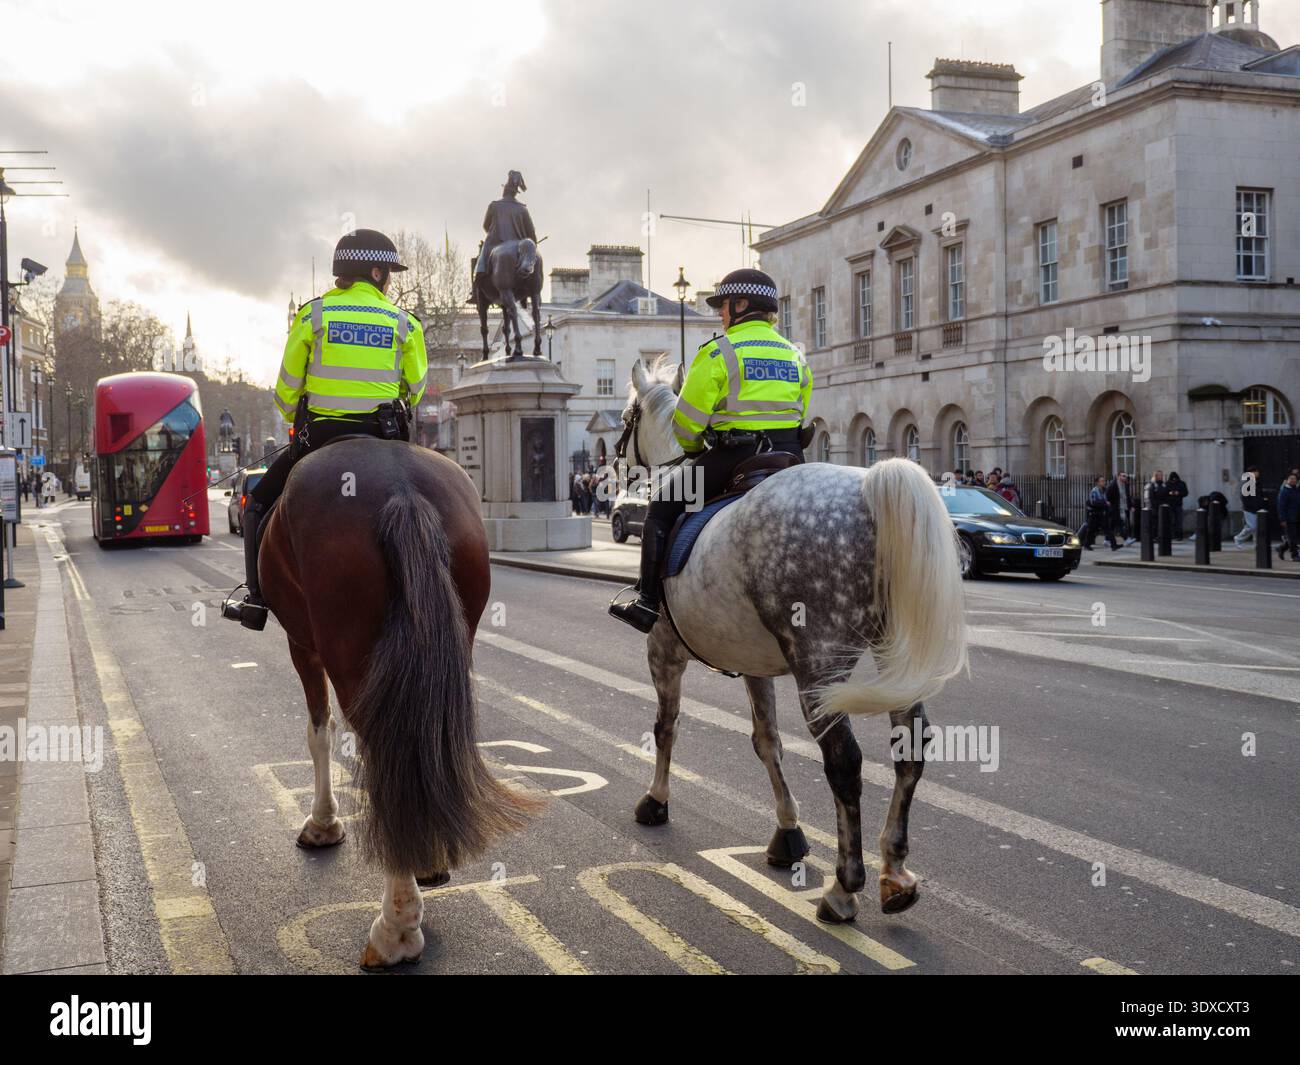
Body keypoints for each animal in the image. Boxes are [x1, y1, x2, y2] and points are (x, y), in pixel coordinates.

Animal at [259, 437, 539, 968]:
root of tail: (400, 488)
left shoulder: (301, 643)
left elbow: (319, 731)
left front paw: (323, 823)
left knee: (385, 757)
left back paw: (396, 928)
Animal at [620, 357, 968, 923]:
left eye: (628, 415)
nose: (612, 453)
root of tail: (869, 485)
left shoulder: (664, 651)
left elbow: (666, 726)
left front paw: (656, 800)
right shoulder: (755, 664)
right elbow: (767, 741)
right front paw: (788, 833)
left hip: (818, 667)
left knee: (844, 761)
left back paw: (845, 888)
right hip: (894, 660)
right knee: (910, 748)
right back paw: (894, 873)